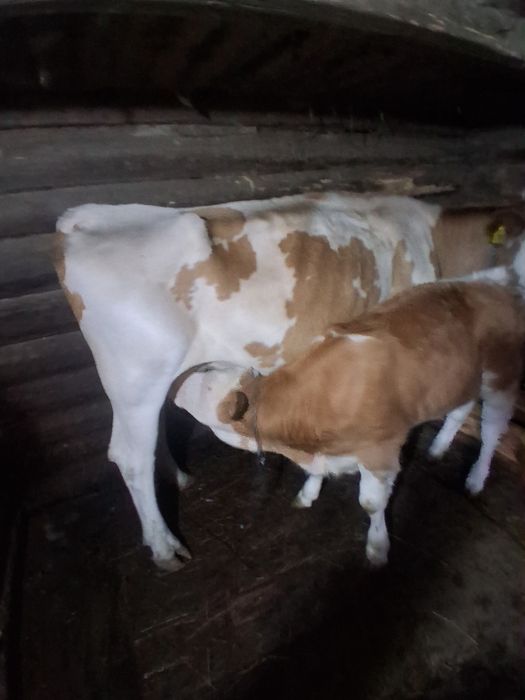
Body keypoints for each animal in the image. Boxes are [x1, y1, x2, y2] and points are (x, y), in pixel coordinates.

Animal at [172, 275, 525, 565]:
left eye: (205, 376)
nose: (174, 386)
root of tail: (496, 285)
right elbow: (315, 473)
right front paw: (308, 494)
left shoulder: (381, 452)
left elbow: (371, 503)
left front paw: (377, 547)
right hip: (460, 380)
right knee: (460, 410)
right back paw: (438, 447)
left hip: (502, 377)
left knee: (492, 430)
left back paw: (476, 478)